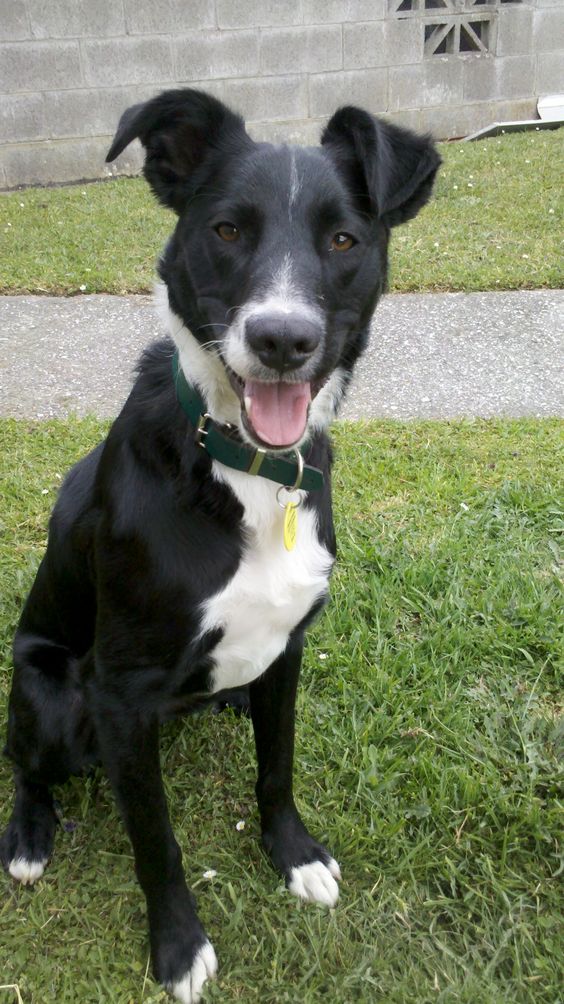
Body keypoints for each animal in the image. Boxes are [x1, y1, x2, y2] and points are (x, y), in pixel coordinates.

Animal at [0, 90, 439, 999]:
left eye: (344, 240)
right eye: (228, 230)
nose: (282, 340)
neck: (244, 468)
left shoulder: (286, 650)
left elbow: (277, 768)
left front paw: (294, 856)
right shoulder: (121, 694)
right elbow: (156, 842)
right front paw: (176, 946)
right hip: (52, 696)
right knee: (24, 760)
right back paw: (27, 835)